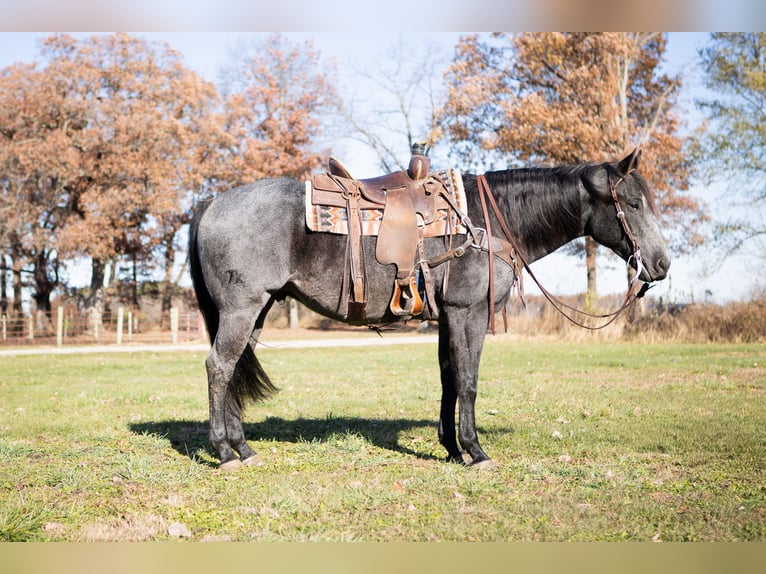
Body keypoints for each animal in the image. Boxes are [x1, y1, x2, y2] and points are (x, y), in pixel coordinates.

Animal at [189, 148, 670, 471]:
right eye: (633, 203)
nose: (662, 264)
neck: (489, 221)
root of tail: (211, 202)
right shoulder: (468, 312)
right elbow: (469, 381)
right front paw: (476, 451)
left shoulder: (447, 318)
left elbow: (449, 381)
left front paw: (452, 447)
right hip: (241, 310)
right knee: (219, 366)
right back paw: (225, 452)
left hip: (256, 310)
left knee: (233, 369)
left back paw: (244, 448)